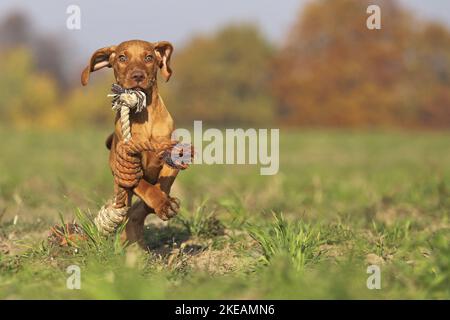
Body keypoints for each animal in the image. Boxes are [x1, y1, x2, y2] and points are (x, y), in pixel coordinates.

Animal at [81, 39, 180, 245]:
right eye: (122, 58)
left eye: (149, 57)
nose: (137, 75)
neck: (145, 117)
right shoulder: (124, 168)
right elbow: (144, 186)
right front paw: (162, 203)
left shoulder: (170, 155)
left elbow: (164, 182)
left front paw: (165, 203)